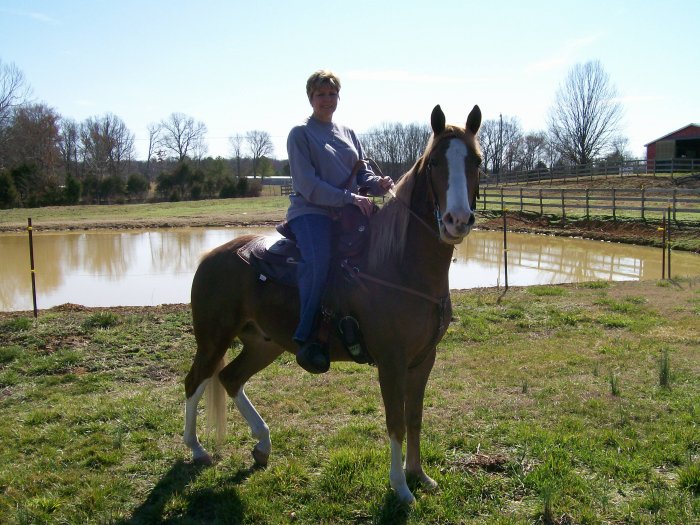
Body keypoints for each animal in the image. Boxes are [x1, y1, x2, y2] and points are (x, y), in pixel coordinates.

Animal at [183, 103, 484, 504]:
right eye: (435, 162)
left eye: (476, 161)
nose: (457, 220)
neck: (398, 265)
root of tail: (210, 256)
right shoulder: (390, 362)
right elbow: (396, 423)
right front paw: (401, 488)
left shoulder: (423, 360)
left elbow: (415, 418)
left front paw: (420, 475)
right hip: (213, 340)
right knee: (195, 381)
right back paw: (197, 449)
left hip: (264, 344)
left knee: (231, 379)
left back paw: (262, 446)